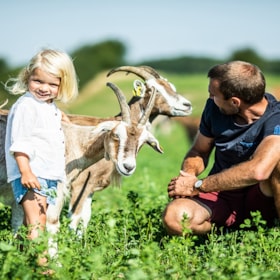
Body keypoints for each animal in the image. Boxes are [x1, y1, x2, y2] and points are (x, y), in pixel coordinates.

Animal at [59, 65, 194, 232]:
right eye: (154, 89)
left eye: (171, 87)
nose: (187, 106)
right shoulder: (80, 184)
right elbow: (74, 220)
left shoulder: (91, 186)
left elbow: (85, 218)